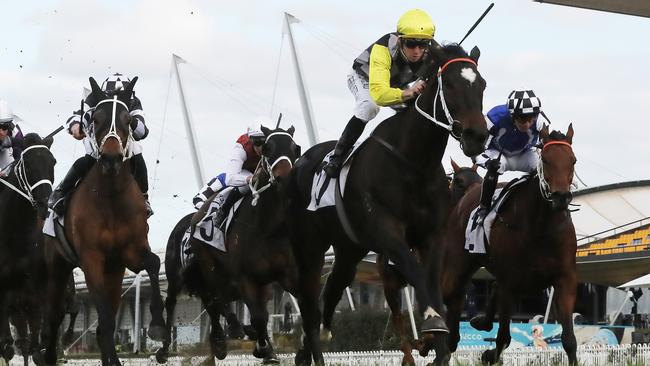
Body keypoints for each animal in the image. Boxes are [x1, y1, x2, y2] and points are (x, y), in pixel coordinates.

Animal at [40, 77, 166, 366]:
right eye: (95, 118)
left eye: (127, 120)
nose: (110, 158)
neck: (110, 197)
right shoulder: (91, 259)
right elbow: (107, 321)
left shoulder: (128, 253)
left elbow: (154, 263)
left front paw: (157, 325)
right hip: (58, 267)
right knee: (53, 315)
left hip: (114, 272)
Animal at [185, 125, 302, 364]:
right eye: (267, 148)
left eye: (295, 148)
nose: (285, 178)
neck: (268, 226)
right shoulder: (246, 277)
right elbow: (258, 316)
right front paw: (265, 350)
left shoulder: (287, 272)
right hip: (210, 266)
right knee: (215, 299)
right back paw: (226, 335)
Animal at [288, 41, 486, 364]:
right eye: (450, 84)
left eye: (481, 84)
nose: (477, 136)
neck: (413, 163)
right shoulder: (388, 233)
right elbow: (415, 273)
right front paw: (432, 320)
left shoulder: (433, 236)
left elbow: (432, 282)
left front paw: (440, 344)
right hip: (310, 249)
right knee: (309, 299)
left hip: (348, 249)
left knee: (333, 288)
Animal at [430, 125, 576, 366]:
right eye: (545, 160)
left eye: (572, 160)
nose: (561, 197)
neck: (540, 227)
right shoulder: (511, 282)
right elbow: (503, 338)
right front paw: (487, 353)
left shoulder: (564, 279)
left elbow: (569, 340)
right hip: (458, 263)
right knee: (450, 294)